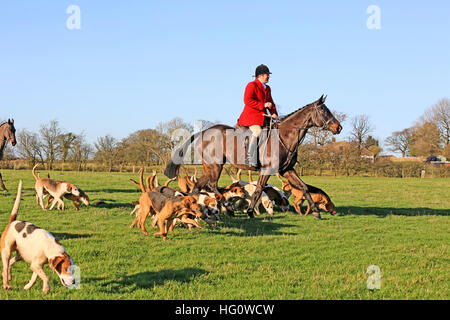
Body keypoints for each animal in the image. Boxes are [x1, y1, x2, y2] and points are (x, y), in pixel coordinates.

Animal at [165, 95, 342, 219]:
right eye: (323, 111)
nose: (338, 127)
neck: (284, 137)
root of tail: (202, 132)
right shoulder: (267, 170)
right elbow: (258, 190)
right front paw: (250, 211)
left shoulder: (287, 170)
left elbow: (304, 187)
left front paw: (316, 212)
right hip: (215, 166)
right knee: (213, 186)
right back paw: (228, 209)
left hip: (210, 167)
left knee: (199, 187)